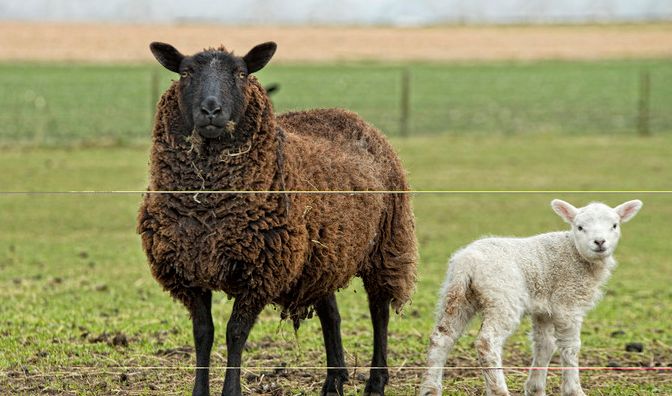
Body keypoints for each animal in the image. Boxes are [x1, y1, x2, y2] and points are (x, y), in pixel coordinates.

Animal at [137, 41, 418, 394]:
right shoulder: (188, 270)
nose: (211, 110)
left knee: (379, 311)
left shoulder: (260, 270)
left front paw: (231, 390)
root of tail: (349, 115)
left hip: (386, 244)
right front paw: (200, 391)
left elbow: (235, 333)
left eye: (241, 73)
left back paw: (376, 382)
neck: (206, 209)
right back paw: (333, 381)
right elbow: (203, 333)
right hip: (320, 253)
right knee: (331, 315)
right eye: (185, 72)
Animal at [418, 200, 644, 396]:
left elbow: (544, 345)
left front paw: (535, 389)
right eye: (579, 227)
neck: (574, 253)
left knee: (442, 337)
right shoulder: (568, 302)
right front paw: (574, 390)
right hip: (503, 296)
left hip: (457, 295)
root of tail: (467, 263)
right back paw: (499, 390)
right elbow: (570, 346)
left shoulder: (544, 307)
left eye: (614, 225)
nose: (599, 242)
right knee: (486, 342)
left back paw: (430, 389)